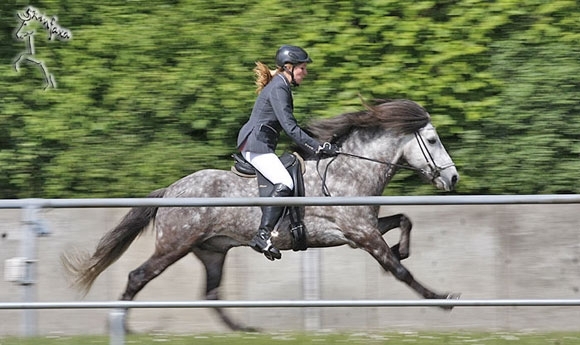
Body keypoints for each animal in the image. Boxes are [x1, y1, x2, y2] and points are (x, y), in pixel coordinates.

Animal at [61, 97, 460, 330]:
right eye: (433, 140)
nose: (453, 178)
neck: (349, 171)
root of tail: (171, 191)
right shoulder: (360, 234)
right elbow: (400, 271)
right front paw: (441, 299)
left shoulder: (361, 229)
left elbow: (404, 221)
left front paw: (402, 248)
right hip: (173, 246)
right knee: (137, 276)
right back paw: (121, 324)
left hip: (212, 251)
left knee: (211, 293)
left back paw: (244, 330)